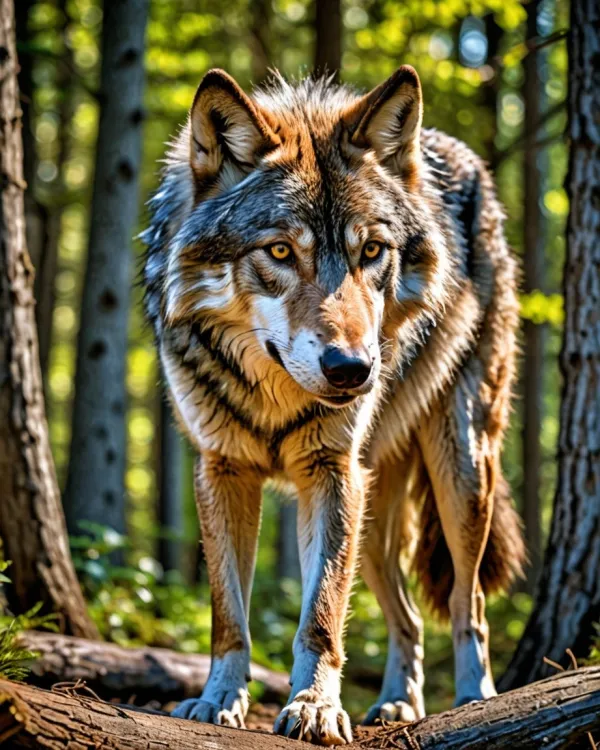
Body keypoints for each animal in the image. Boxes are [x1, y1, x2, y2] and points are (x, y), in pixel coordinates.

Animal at [142, 66, 524, 745]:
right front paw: (218, 700)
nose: (353, 369)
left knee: (468, 602)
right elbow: (228, 615)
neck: (273, 394)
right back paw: (397, 703)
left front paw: (315, 707)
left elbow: (319, 616)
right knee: (408, 618)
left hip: (459, 470)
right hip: (372, 510)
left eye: (371, 251)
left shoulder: (330, 473)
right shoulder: (222, 470)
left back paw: (475, 697)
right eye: (279, 252)